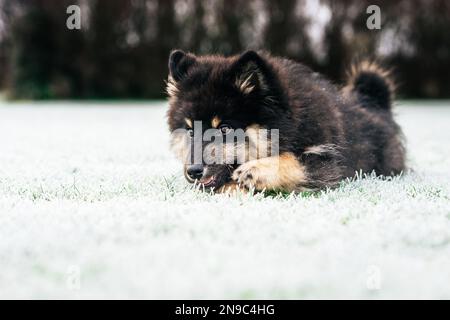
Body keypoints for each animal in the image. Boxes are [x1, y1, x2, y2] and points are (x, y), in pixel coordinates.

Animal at [166, 50, 404, 192]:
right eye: (190, 130)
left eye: (224, 129)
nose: (193, 171)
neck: (292, 122)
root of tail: (374, 102)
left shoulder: (327, 160)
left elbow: (296, 162)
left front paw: (256, 170)